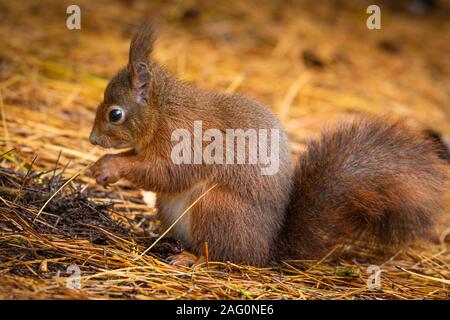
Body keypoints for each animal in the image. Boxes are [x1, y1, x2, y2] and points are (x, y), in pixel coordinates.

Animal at [87, 23, 446, 266]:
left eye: (115, 114)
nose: (92, 140)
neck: (164, 111)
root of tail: (266, 250)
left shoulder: (186, 139)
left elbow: (166, 173)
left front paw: (111, 165)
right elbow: (142, 160)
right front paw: (100, 166)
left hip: (217, 208)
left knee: (223, 256)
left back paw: (194, 259)